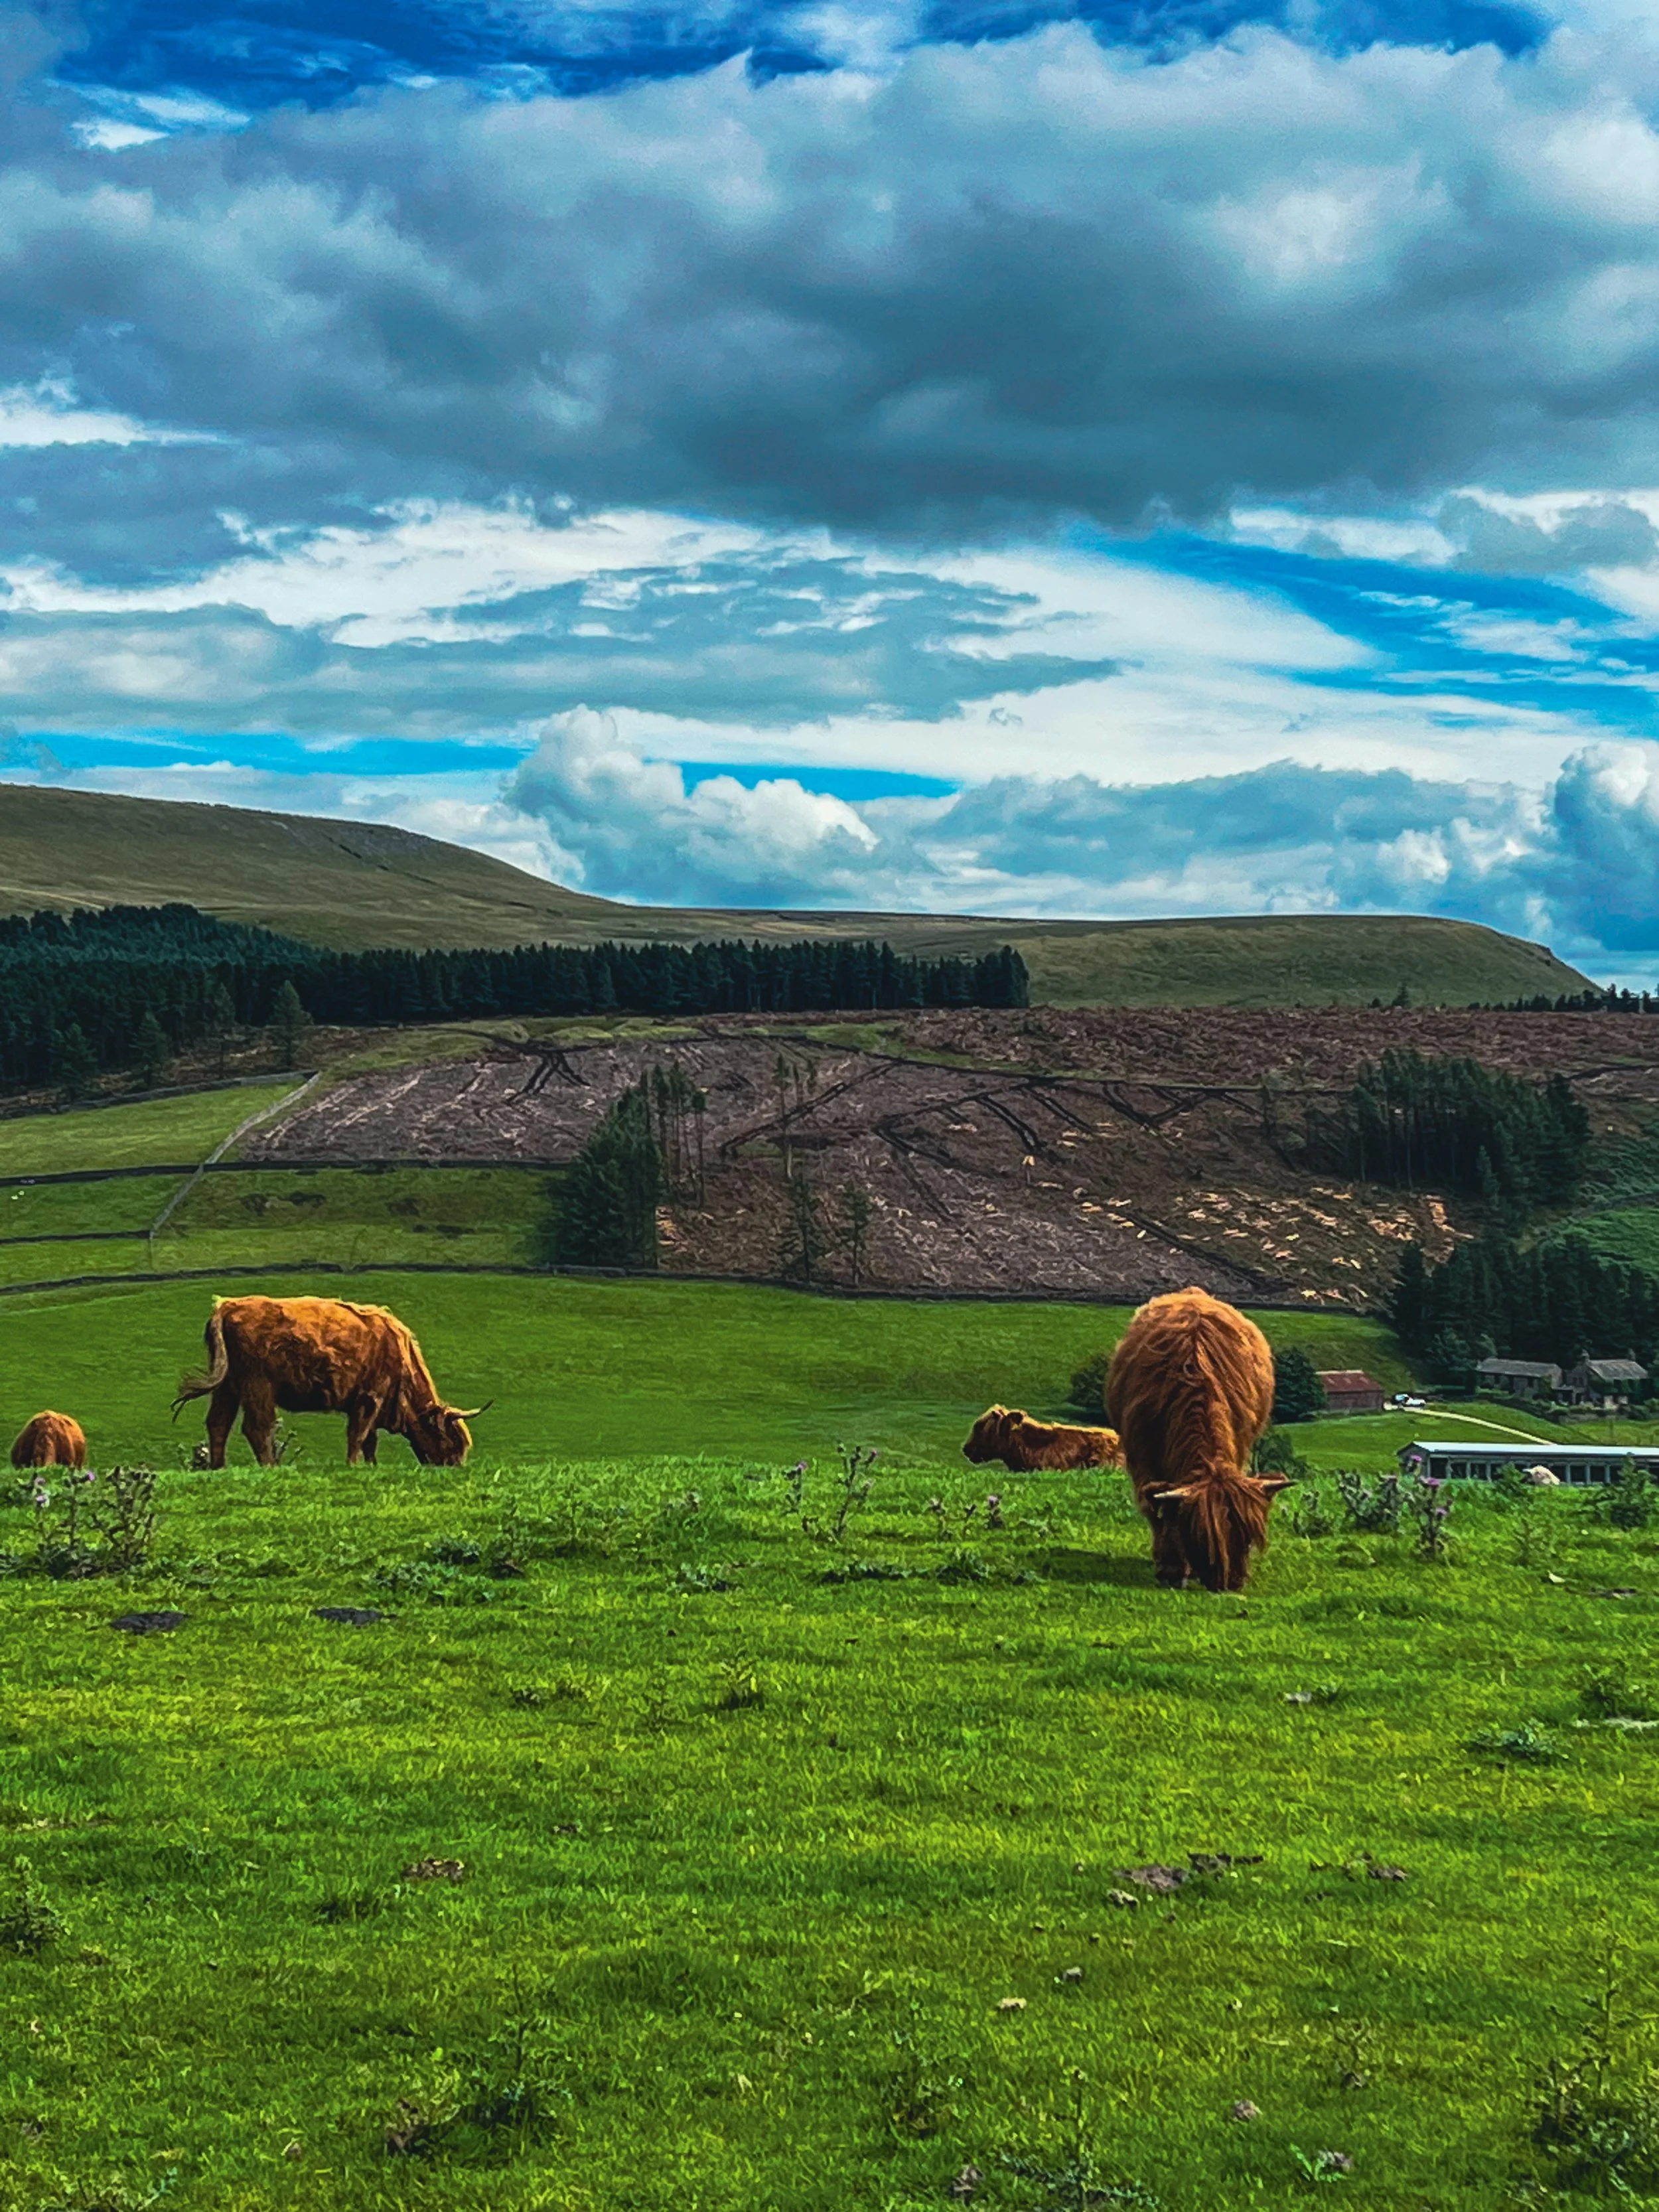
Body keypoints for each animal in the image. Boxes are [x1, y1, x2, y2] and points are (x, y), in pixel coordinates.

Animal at [172, 1295, 487, 1468]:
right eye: (450, 1441)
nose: (454, 1467)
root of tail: (227, 1307)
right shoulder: (369, 1397)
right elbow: (359, 1435)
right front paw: (354, 1465)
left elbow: (369, 1440)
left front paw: (371, 1466)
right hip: (258, 1385)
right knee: (257, 1427)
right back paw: (270, 1467)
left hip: (228, 1386)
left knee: (218, 1423)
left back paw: (219, 1468)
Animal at [1107, 1287, 1289, 1592]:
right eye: (1202, 1538)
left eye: (1248, 1538)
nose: (1230, 1583)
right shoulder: (1143, 1459)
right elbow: (1160, 1511)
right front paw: (1171, 1569)